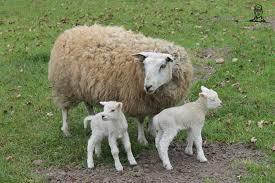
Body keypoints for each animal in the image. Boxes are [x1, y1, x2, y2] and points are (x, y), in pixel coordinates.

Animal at [48, 24, 194, 144]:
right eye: (145, 65)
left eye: (163, 65)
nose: (147, 87)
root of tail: (70, 31)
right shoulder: (138, 101)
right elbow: (141, 120)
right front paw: (142, 140)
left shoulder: (154, 102)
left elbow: (152, 117)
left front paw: (153, 132)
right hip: (65, 87)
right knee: (65, 110)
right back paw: (66, 130)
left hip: (84, 86)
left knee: (88, 104)